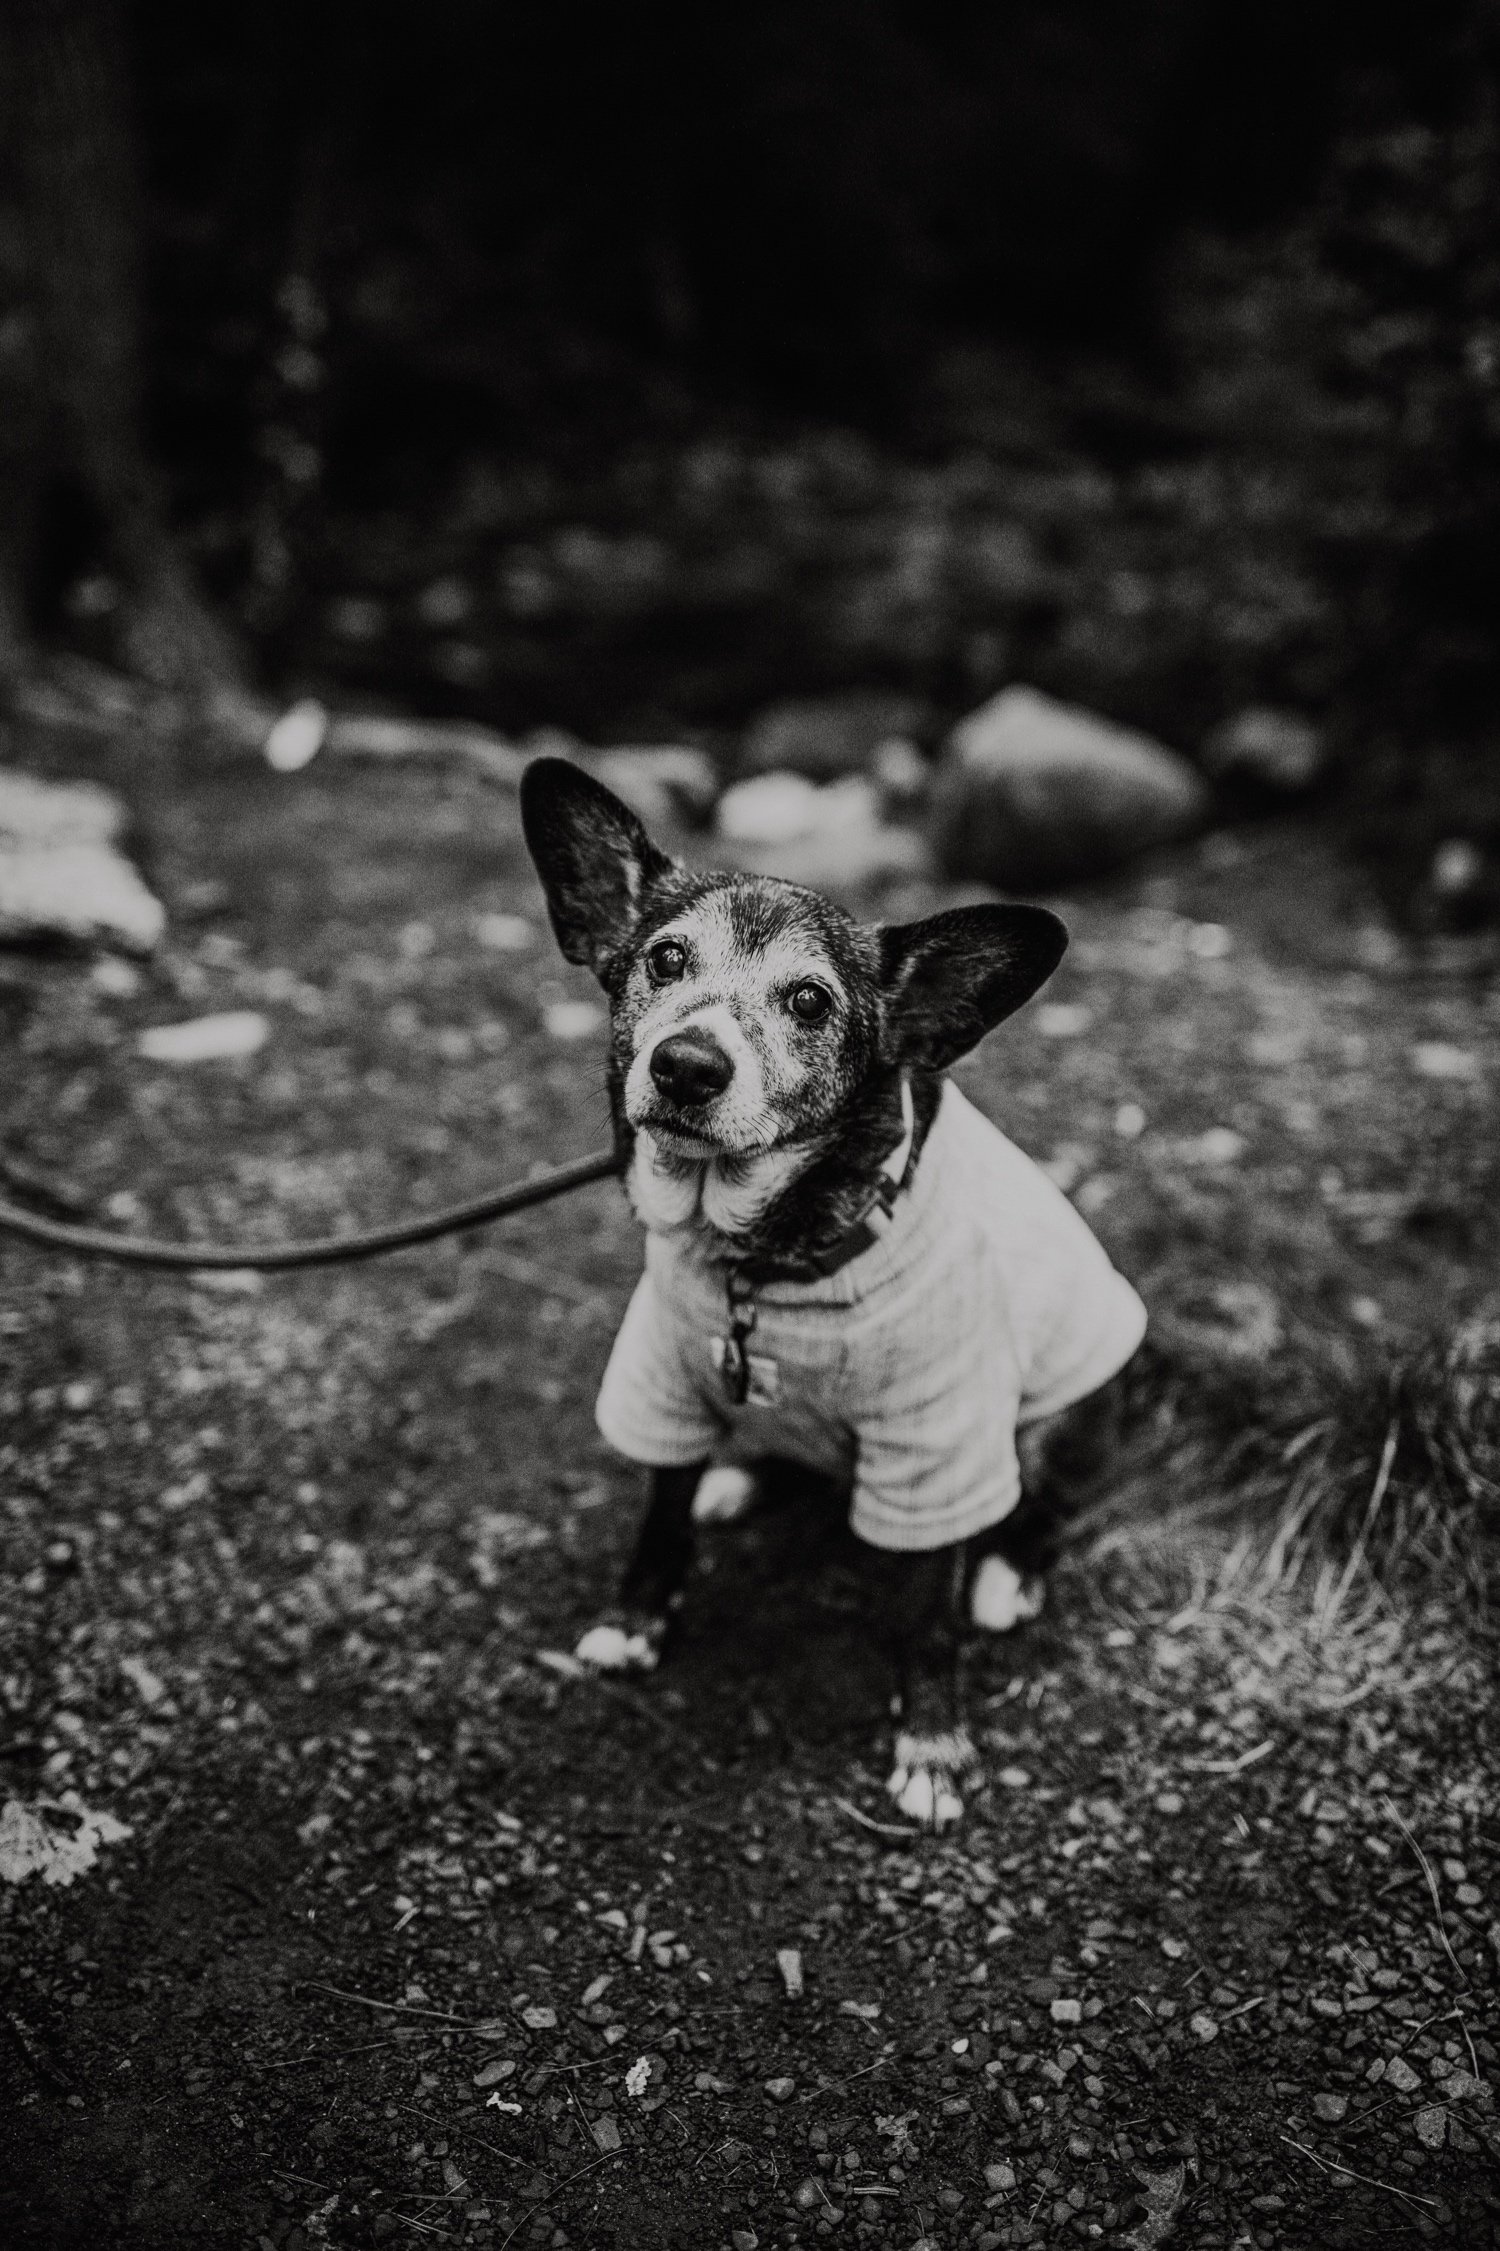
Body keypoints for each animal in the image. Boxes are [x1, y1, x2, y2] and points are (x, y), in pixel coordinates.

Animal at [520, 756, 1139, 1827]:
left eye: (810, 1001)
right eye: (665, 960)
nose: (686, 1064)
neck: (761, 1261)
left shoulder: (938, 1445)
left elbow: (929, 1614)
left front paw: (931, 1744)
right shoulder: (665, 1379)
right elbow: (659, 1516)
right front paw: (635, 1622)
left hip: (1057, 1415)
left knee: (1043, 1505)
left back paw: (1007, 1577)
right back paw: (743, 1476)